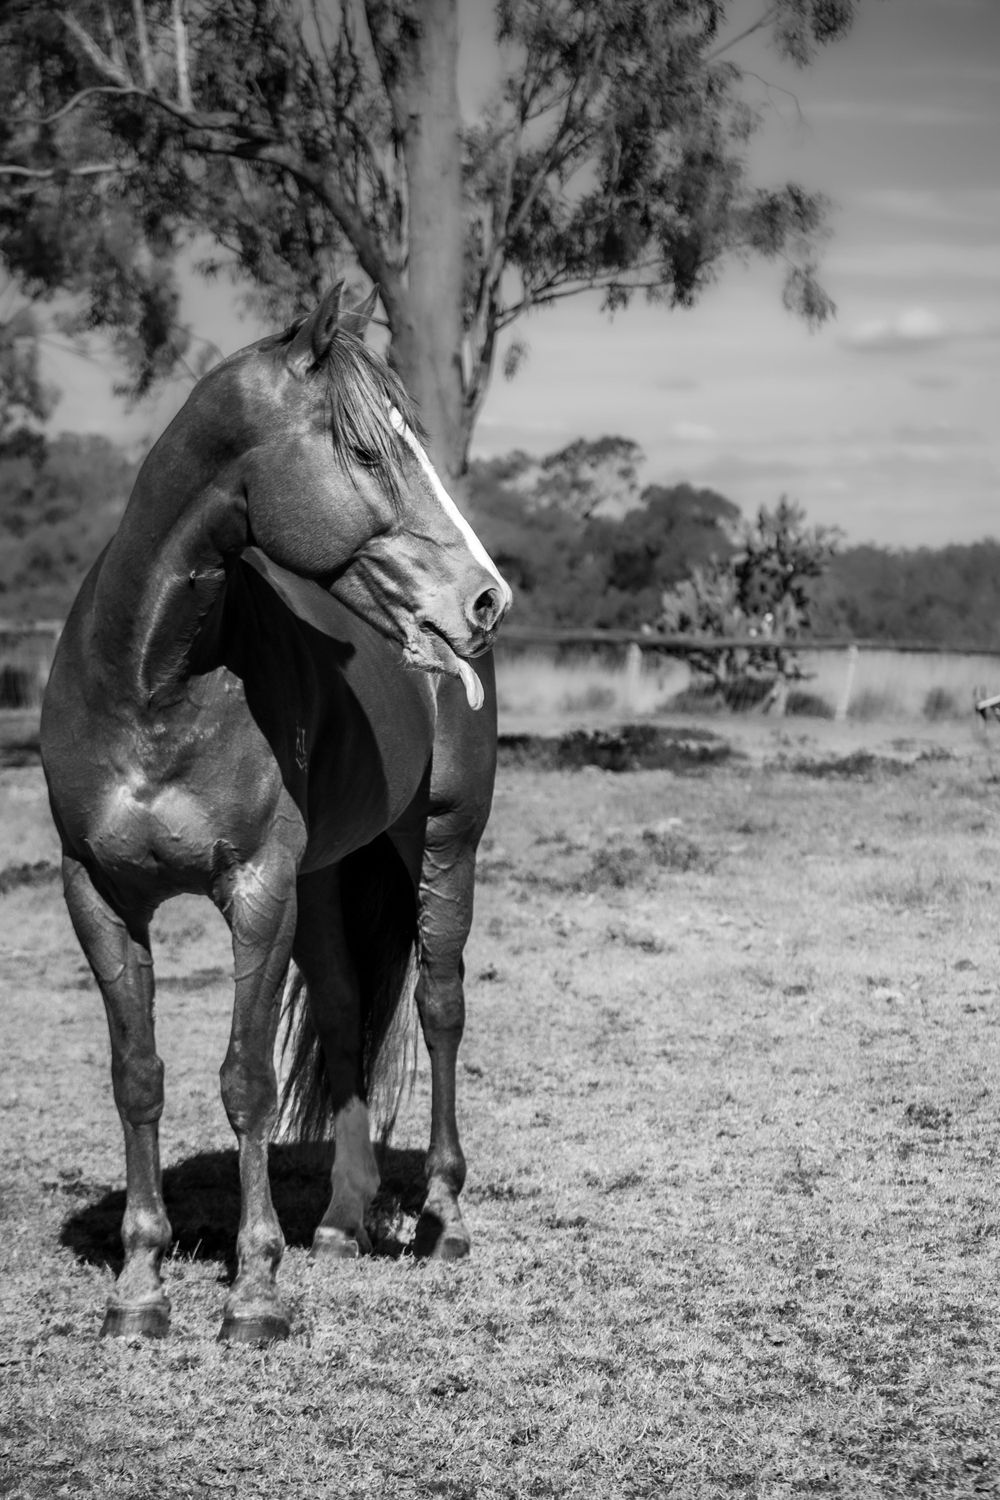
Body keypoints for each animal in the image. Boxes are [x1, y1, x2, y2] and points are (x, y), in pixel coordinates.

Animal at [39, 284, 511, 1343]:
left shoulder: (254, 890)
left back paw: (444, 1218)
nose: (486, 598)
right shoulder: (99, 896)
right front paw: (139, 1287)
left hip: (443, 847)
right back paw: (339, 1220)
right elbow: (139, 1077)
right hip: (328, 875)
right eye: (368, 453)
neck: (151, 680)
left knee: (441, 1006)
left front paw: (254, 1292)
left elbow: (244, 1081)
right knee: (342, 1015)